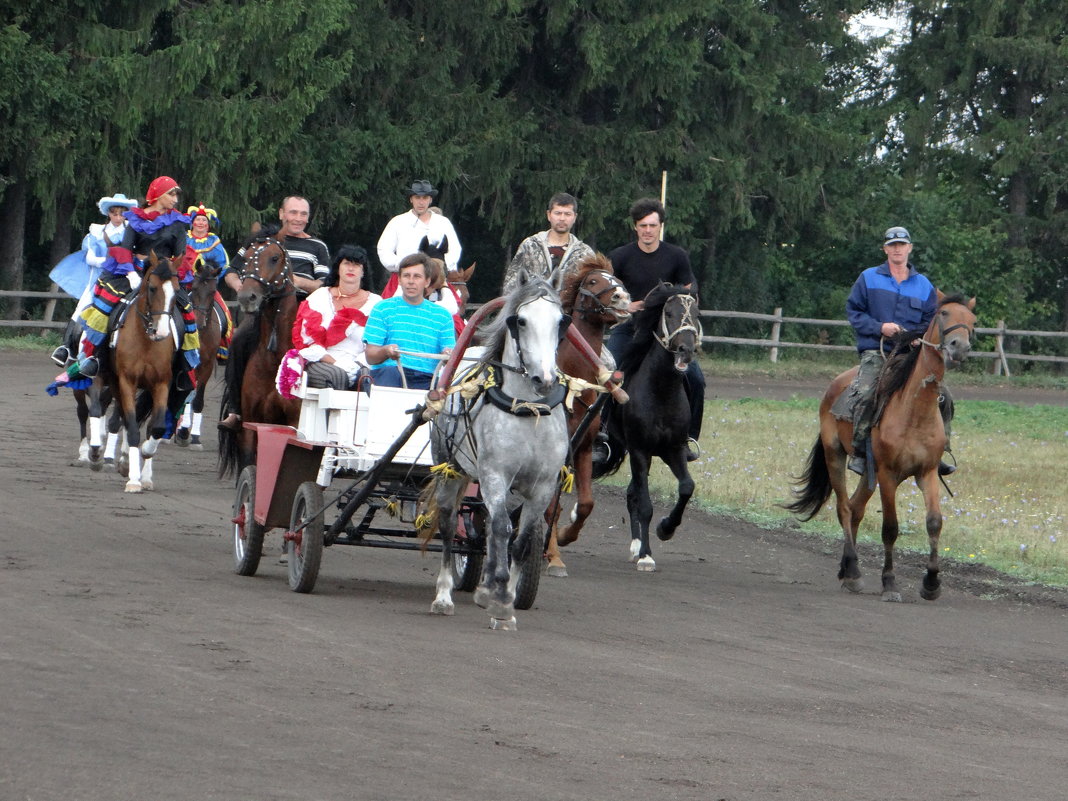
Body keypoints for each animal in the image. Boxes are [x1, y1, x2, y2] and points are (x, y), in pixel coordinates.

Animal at [216, 228, 301, 480]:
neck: (275, 359)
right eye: (245, 258)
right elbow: (249, 466)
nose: (248, 297)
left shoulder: (294, 423)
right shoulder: (251, 424)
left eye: (274, 258)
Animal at [427, 275, 576, 632]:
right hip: (449, 467)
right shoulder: (495, 475)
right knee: (452, 524)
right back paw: (444, 595)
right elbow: (501, 529)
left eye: (561, 321)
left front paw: (506, 597)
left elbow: (518, 540)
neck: (529, 411)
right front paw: (497, 596)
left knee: (489, 523)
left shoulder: (542, 487)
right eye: (520, 321)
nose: (544, 379)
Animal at [546, 252, 627, 576]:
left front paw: (563, 538)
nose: (623, 298)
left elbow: (586, 505)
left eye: (617, 280)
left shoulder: (581, 449)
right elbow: (550, 507)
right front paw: (553, 556)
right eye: (593, 281)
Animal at [593, 281, 700, 572]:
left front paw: (666, 528)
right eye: (669, 313)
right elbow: (645, 505)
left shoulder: (673, 449)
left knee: (632, 493)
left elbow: (686, 487)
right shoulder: (640, 451)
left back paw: (635, 544)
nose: (686, 350)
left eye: (696, 314)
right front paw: (646, 556)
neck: (661, 391)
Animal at [786, 290, 978, 602]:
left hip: (868, 471)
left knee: (855, 508)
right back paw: (853, 571)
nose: (959, 347)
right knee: (844, 508)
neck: (914, 411)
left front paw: (931, 583)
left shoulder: (926, 472)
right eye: (944, 313)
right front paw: (890, 583)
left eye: (972, 320)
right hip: (835, 455)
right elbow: (890, 528)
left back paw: (846, 570)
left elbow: (934, 522)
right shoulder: (888, 474)